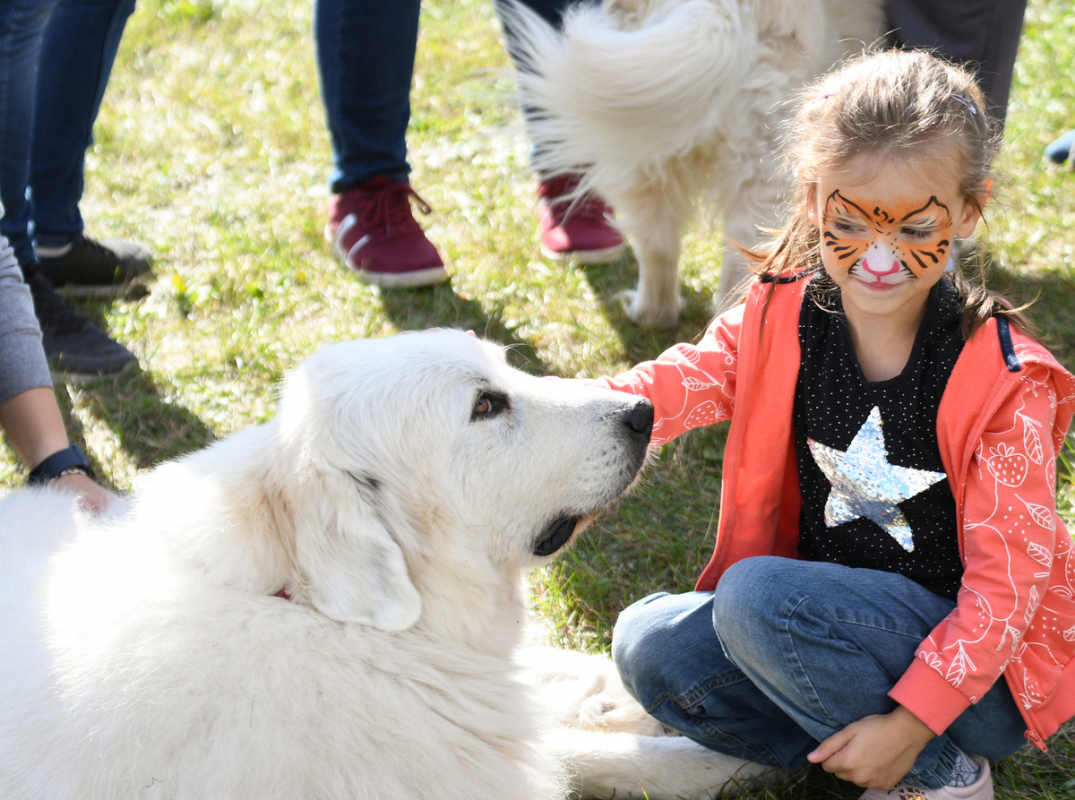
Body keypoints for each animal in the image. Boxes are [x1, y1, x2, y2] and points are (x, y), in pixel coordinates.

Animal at [2, 329, 774, 795]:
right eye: (486, 406)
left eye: (506, 369)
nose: (641, 412)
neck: (323, 616)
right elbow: (566, 751)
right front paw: (725, 757)